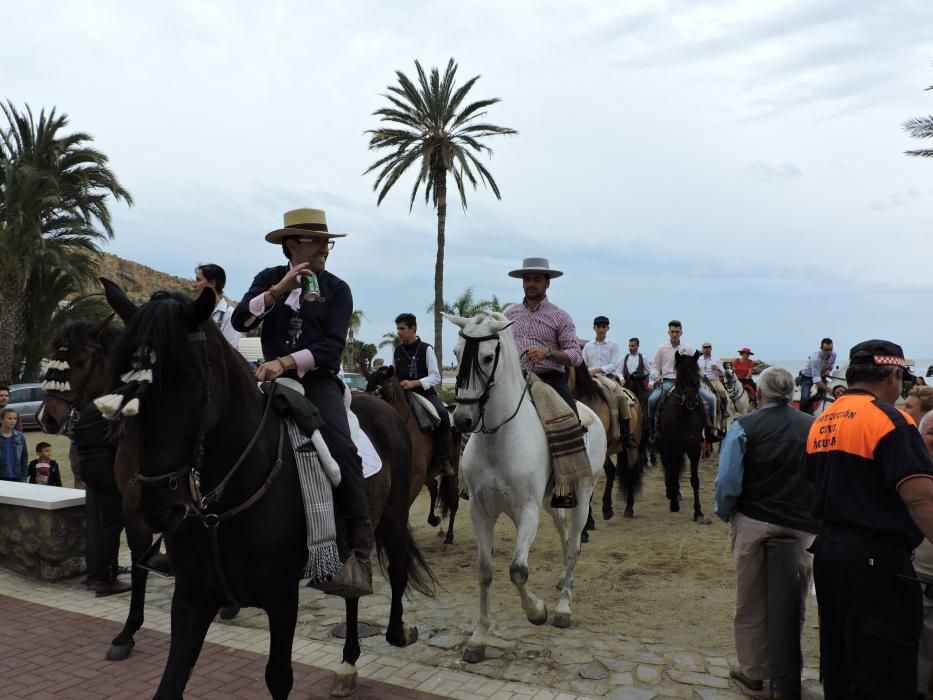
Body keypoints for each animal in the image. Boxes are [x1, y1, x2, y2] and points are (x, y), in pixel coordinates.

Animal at [100, 280, 436, 700]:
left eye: (190, 382)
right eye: (123, 383)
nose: (158, 504)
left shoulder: (281, 597)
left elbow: (279, 677)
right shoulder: (192, 597)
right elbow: (169, 684)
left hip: (392, 518)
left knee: (397, 569)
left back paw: (397, 632)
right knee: (352, 595)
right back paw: (347, 662)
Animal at [362, 366, 460, 548]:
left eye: (388, 391)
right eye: (367, 390)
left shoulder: (415, 477)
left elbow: (404, 507)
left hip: (453, 467)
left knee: (453, 499)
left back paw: (449, 536)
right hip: (428, 473)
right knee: (433, 487)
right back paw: (433, 520)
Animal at [448, 312, 608, 660]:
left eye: (487, 357)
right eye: (455, 353)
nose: (462, 419)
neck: (499, 437)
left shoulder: (527, 512)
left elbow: (517, 570)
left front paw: (537, 611)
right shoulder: (479, 510)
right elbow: (485, 570)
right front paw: (479, 637)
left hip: (583, 495)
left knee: (574, 545)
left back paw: (563, 607)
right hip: (552, 501)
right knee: (564, 533)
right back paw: (561, 580)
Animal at [656, 352, 708, 524]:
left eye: (696, 375)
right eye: (681, 376)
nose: (691, 401)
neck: (685, 416)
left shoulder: (695, 448)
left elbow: (695, 480)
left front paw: (698, 512)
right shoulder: (671, 447)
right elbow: (672, 473)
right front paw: (673, 504)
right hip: (663, 447)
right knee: (669, 469)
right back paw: (671, 493)